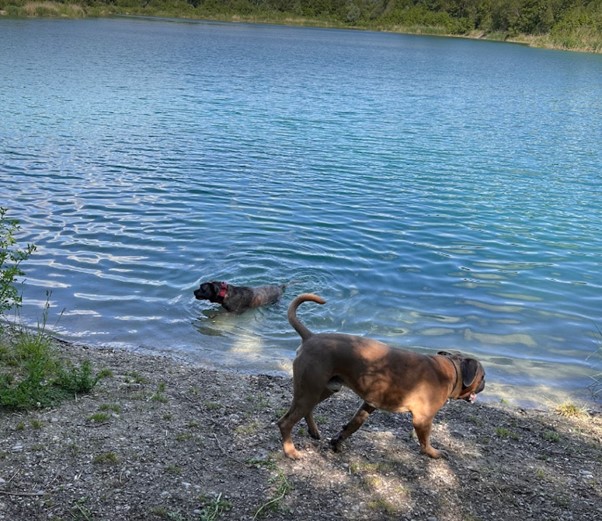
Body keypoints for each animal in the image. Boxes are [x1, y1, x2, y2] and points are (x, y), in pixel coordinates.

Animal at [276, 292, 482, 460]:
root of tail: (310, 336)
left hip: (322, 390)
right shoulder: (422, 419)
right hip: (310, 391)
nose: (484, 385)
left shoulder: (368, 405)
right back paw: (291, 451)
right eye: (483, 376)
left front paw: (337, 442)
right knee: (285, 423)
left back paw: (313, 431)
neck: (451, 370)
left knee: (306, 411)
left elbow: (351, 426)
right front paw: (433, 453)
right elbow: (425, 442)